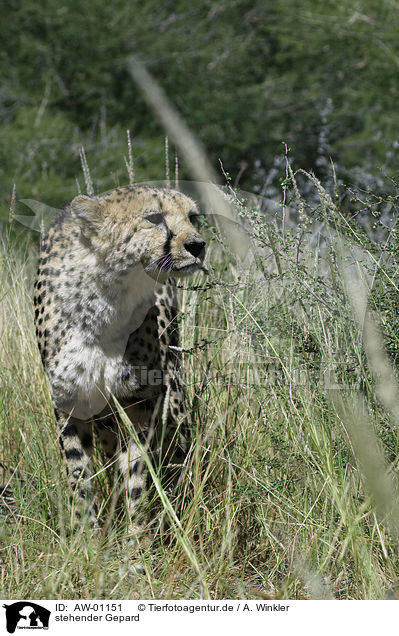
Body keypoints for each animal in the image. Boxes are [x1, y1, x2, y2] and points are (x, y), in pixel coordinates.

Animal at [34, 183, 206, 532]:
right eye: (153, 218)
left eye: (193, 217)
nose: (198, 246)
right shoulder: (69, 399)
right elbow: (78, 473)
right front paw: (85, 536)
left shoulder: (140, 400)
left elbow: (136, 473)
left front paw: (135, 536)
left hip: (173, 392)